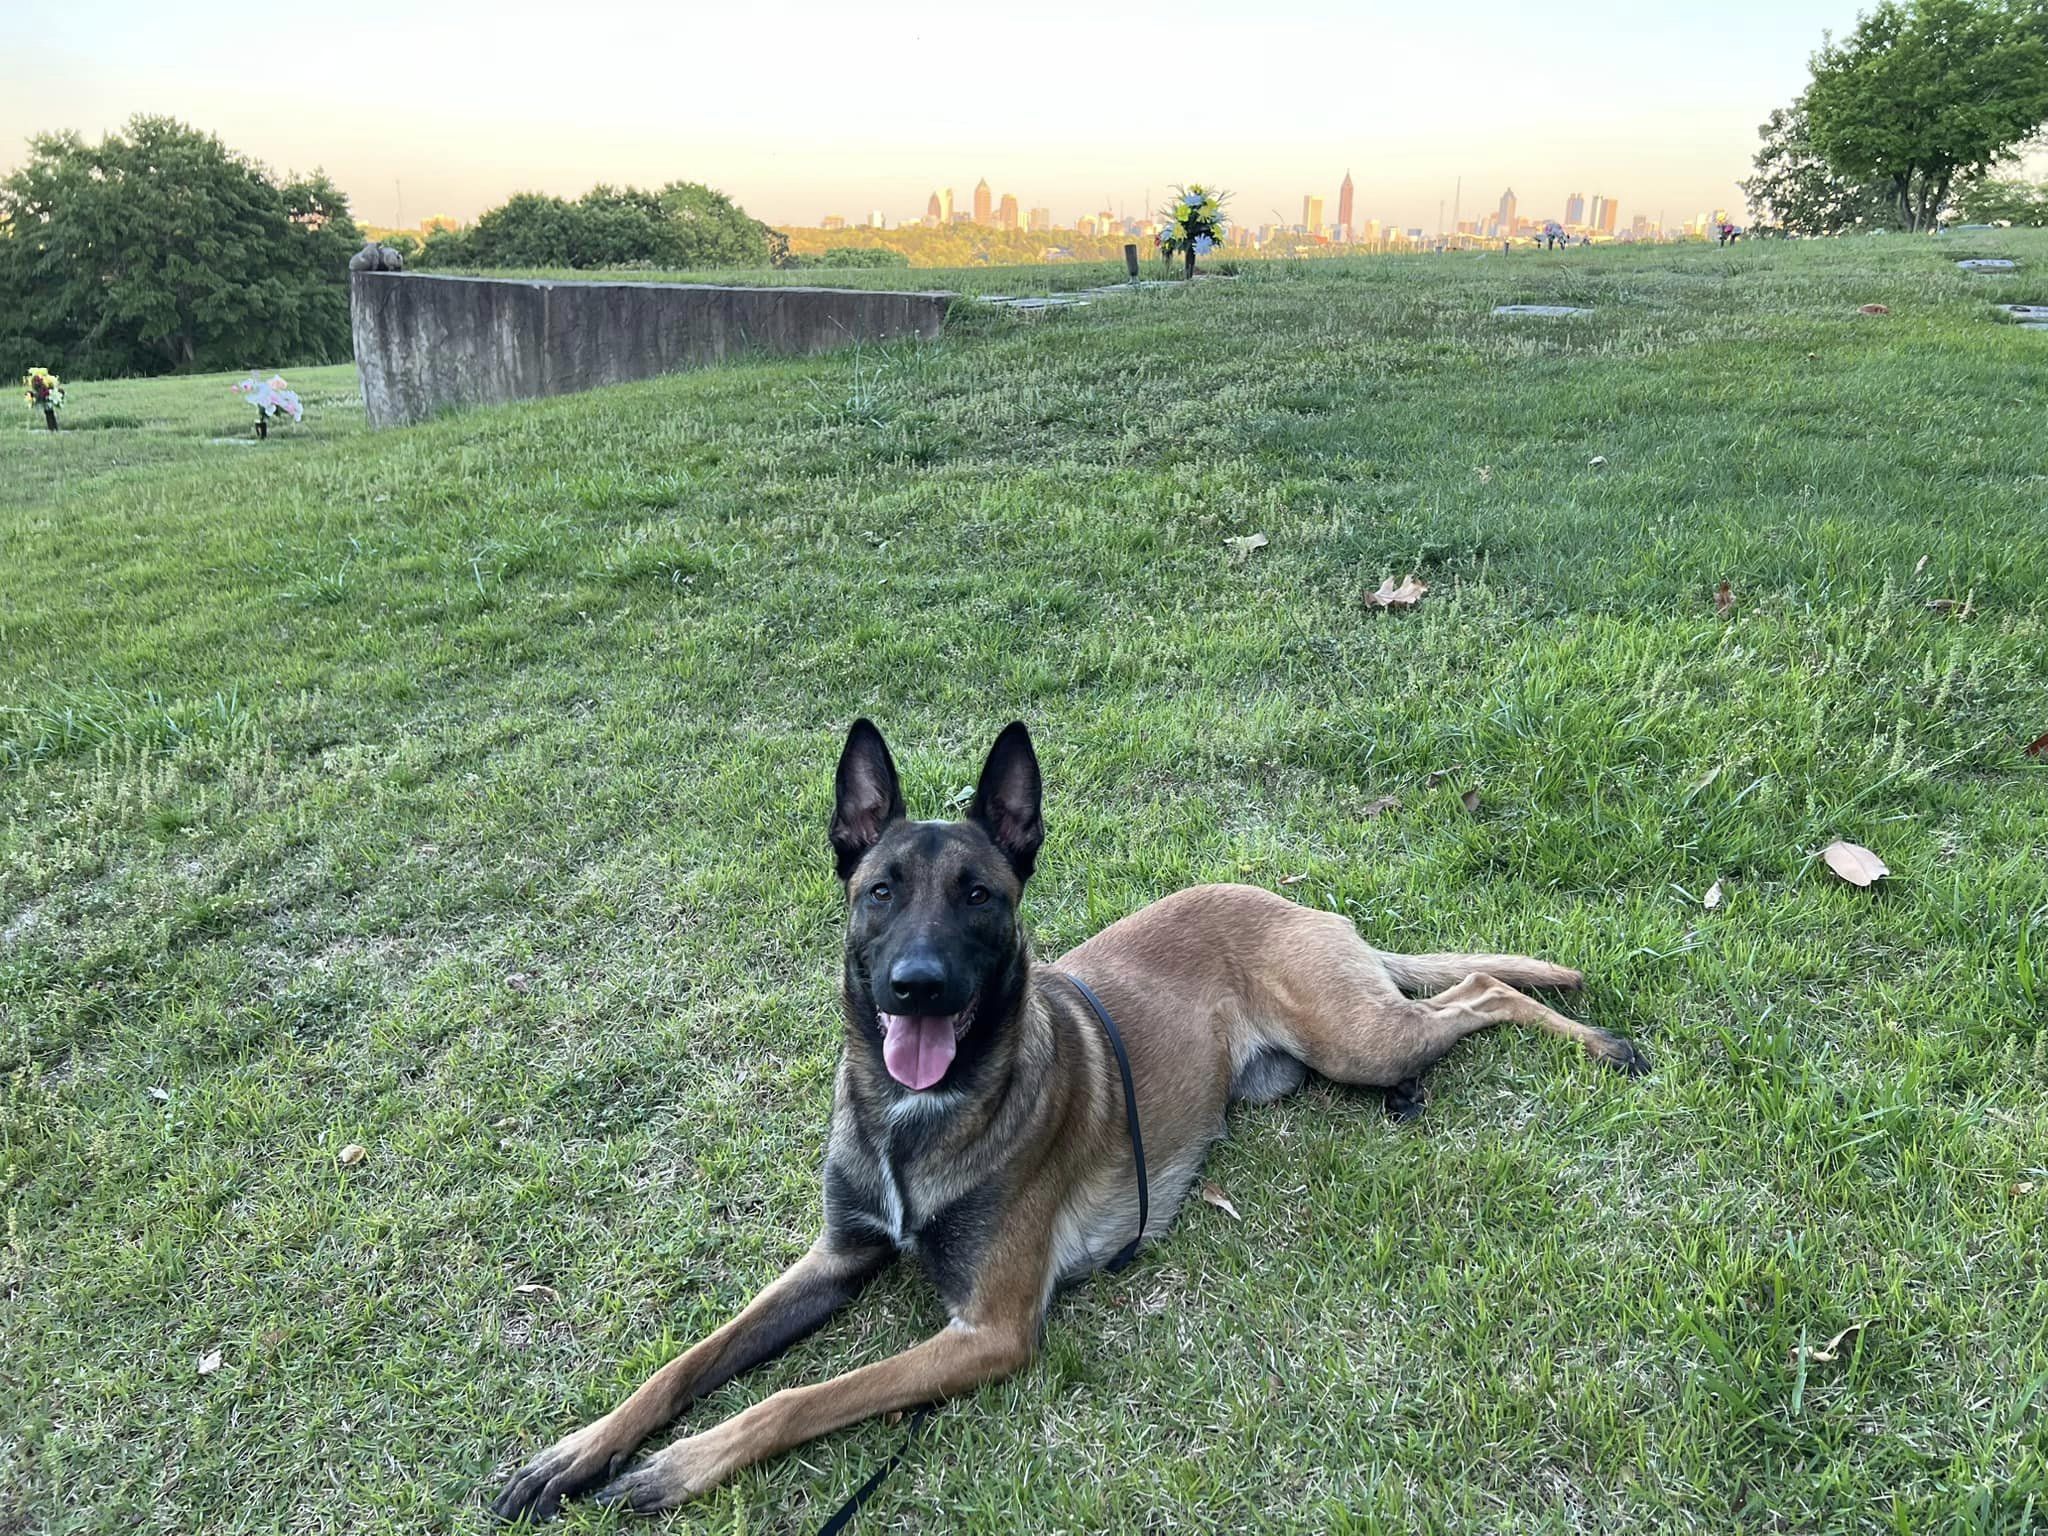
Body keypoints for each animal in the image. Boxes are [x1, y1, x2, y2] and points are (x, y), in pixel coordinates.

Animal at [487, 720, 1638, 1531]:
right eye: (880, 891)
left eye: (980, 896)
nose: (915, 987)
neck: (916, 1119)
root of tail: (1302, 904)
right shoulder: (831, 1260)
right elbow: (690, 1361)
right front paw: (579, 1449)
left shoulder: (988, 1331)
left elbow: (802, 1396)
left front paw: (677, 1467)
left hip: (1355, 1032)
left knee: (1482, 987)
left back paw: (1597, 1044)